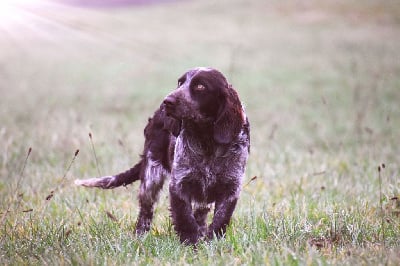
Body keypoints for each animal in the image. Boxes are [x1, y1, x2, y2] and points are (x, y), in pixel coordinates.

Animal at [75, 67, 250, 244]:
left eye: (200, 86)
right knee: (146, 212)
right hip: (151, 176)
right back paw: (140, 236)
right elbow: (185, 218)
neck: (206, 141)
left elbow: (220, 219)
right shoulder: (179, 183)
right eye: (180, 82)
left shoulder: (231, 187)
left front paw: (210, 242)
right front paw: (191, 242)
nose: (167, 101)